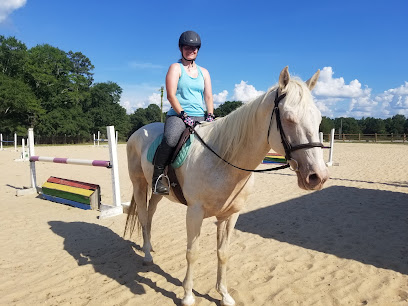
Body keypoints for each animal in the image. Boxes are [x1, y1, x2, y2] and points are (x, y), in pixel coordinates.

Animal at [123, 67, 328, 306]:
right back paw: (147, 255)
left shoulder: (229, 215)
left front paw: (224, 294)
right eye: (289, 118)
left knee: (150, 215)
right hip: (139, 184)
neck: (222, 158)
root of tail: (140, 131)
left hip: (158, 192)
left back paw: (150, 247)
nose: (317, 176)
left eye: (319, 118)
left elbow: (223, 253)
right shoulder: (194, 213)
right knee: (143, 216)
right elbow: (192, 252)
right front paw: (188, 295)